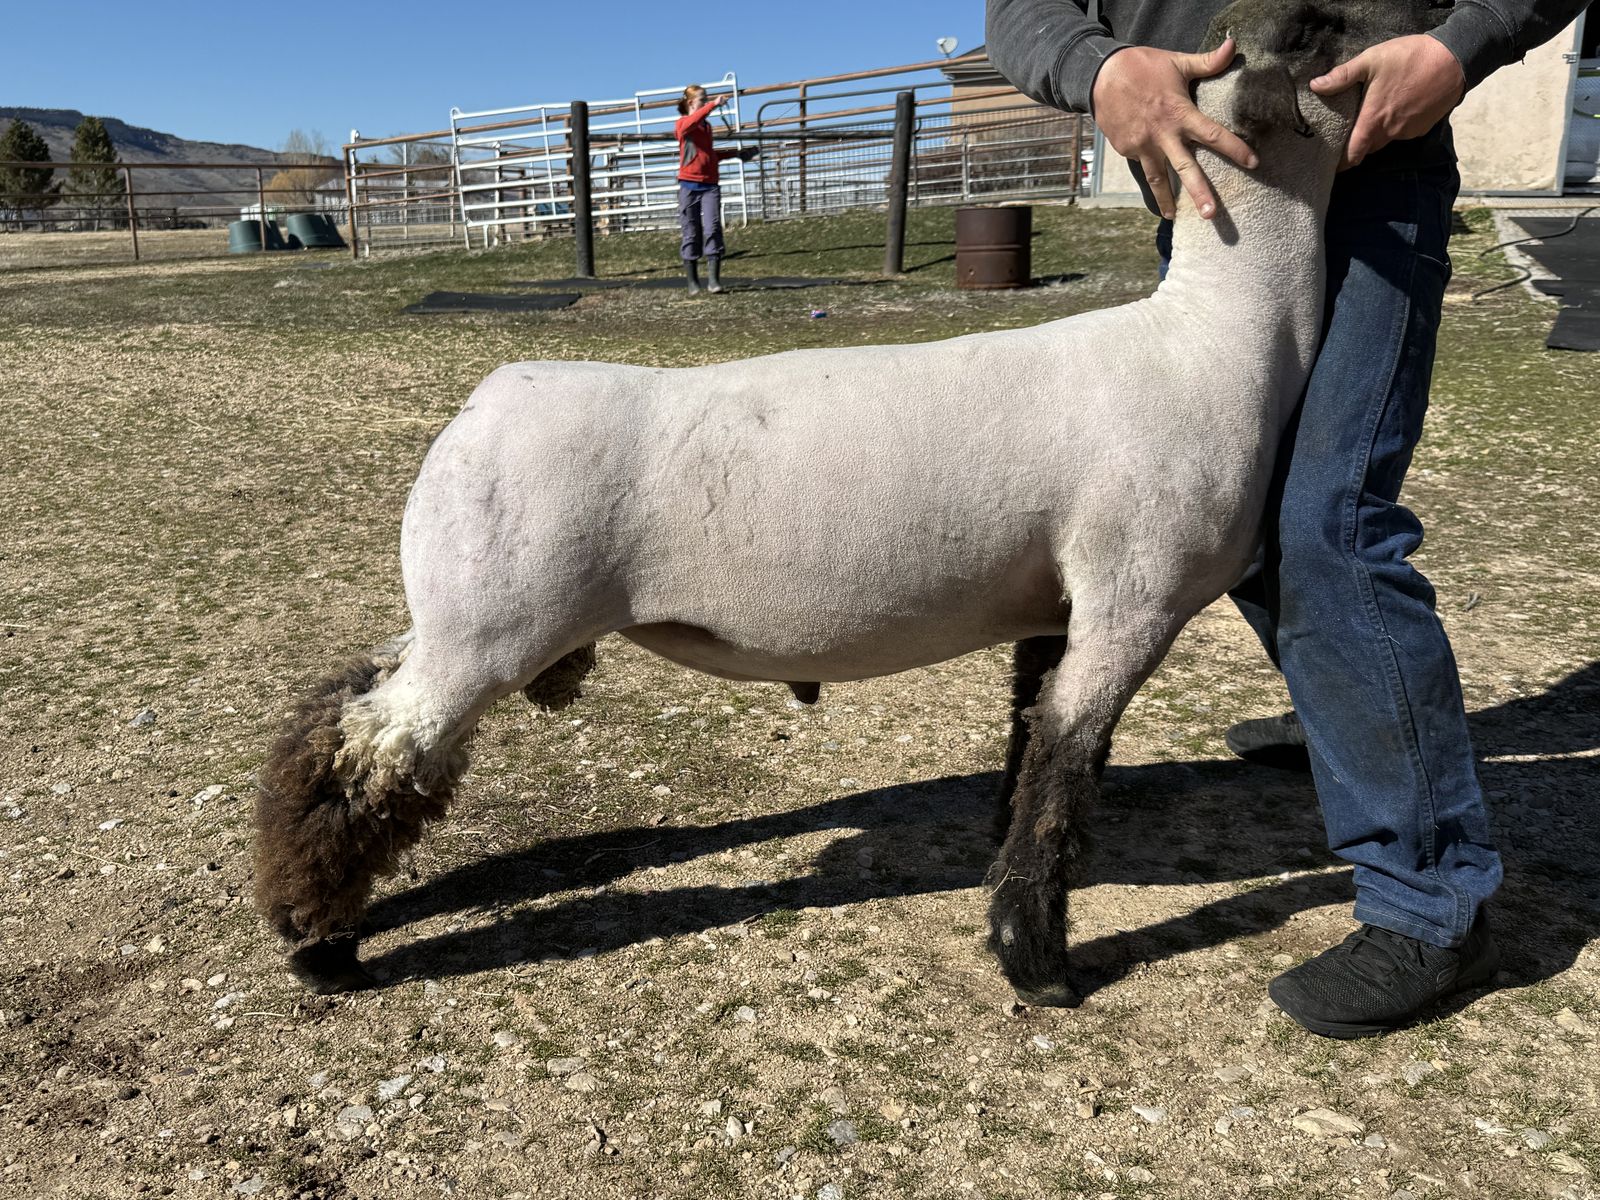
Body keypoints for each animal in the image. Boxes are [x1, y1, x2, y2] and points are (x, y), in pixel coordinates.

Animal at [255, 0, 1445, 1000]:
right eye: (1317, 29)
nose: (1432, 46)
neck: (1211, 340)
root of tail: (481, 405)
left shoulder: (1060, 602)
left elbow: (1026, 747)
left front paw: (1005, 897)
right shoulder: (1134, 597)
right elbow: (1065, 774)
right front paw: (1038, 964)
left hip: (455, 611)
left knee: (335, 716)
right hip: (491, 628)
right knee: (375, 757)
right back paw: (318, 944)